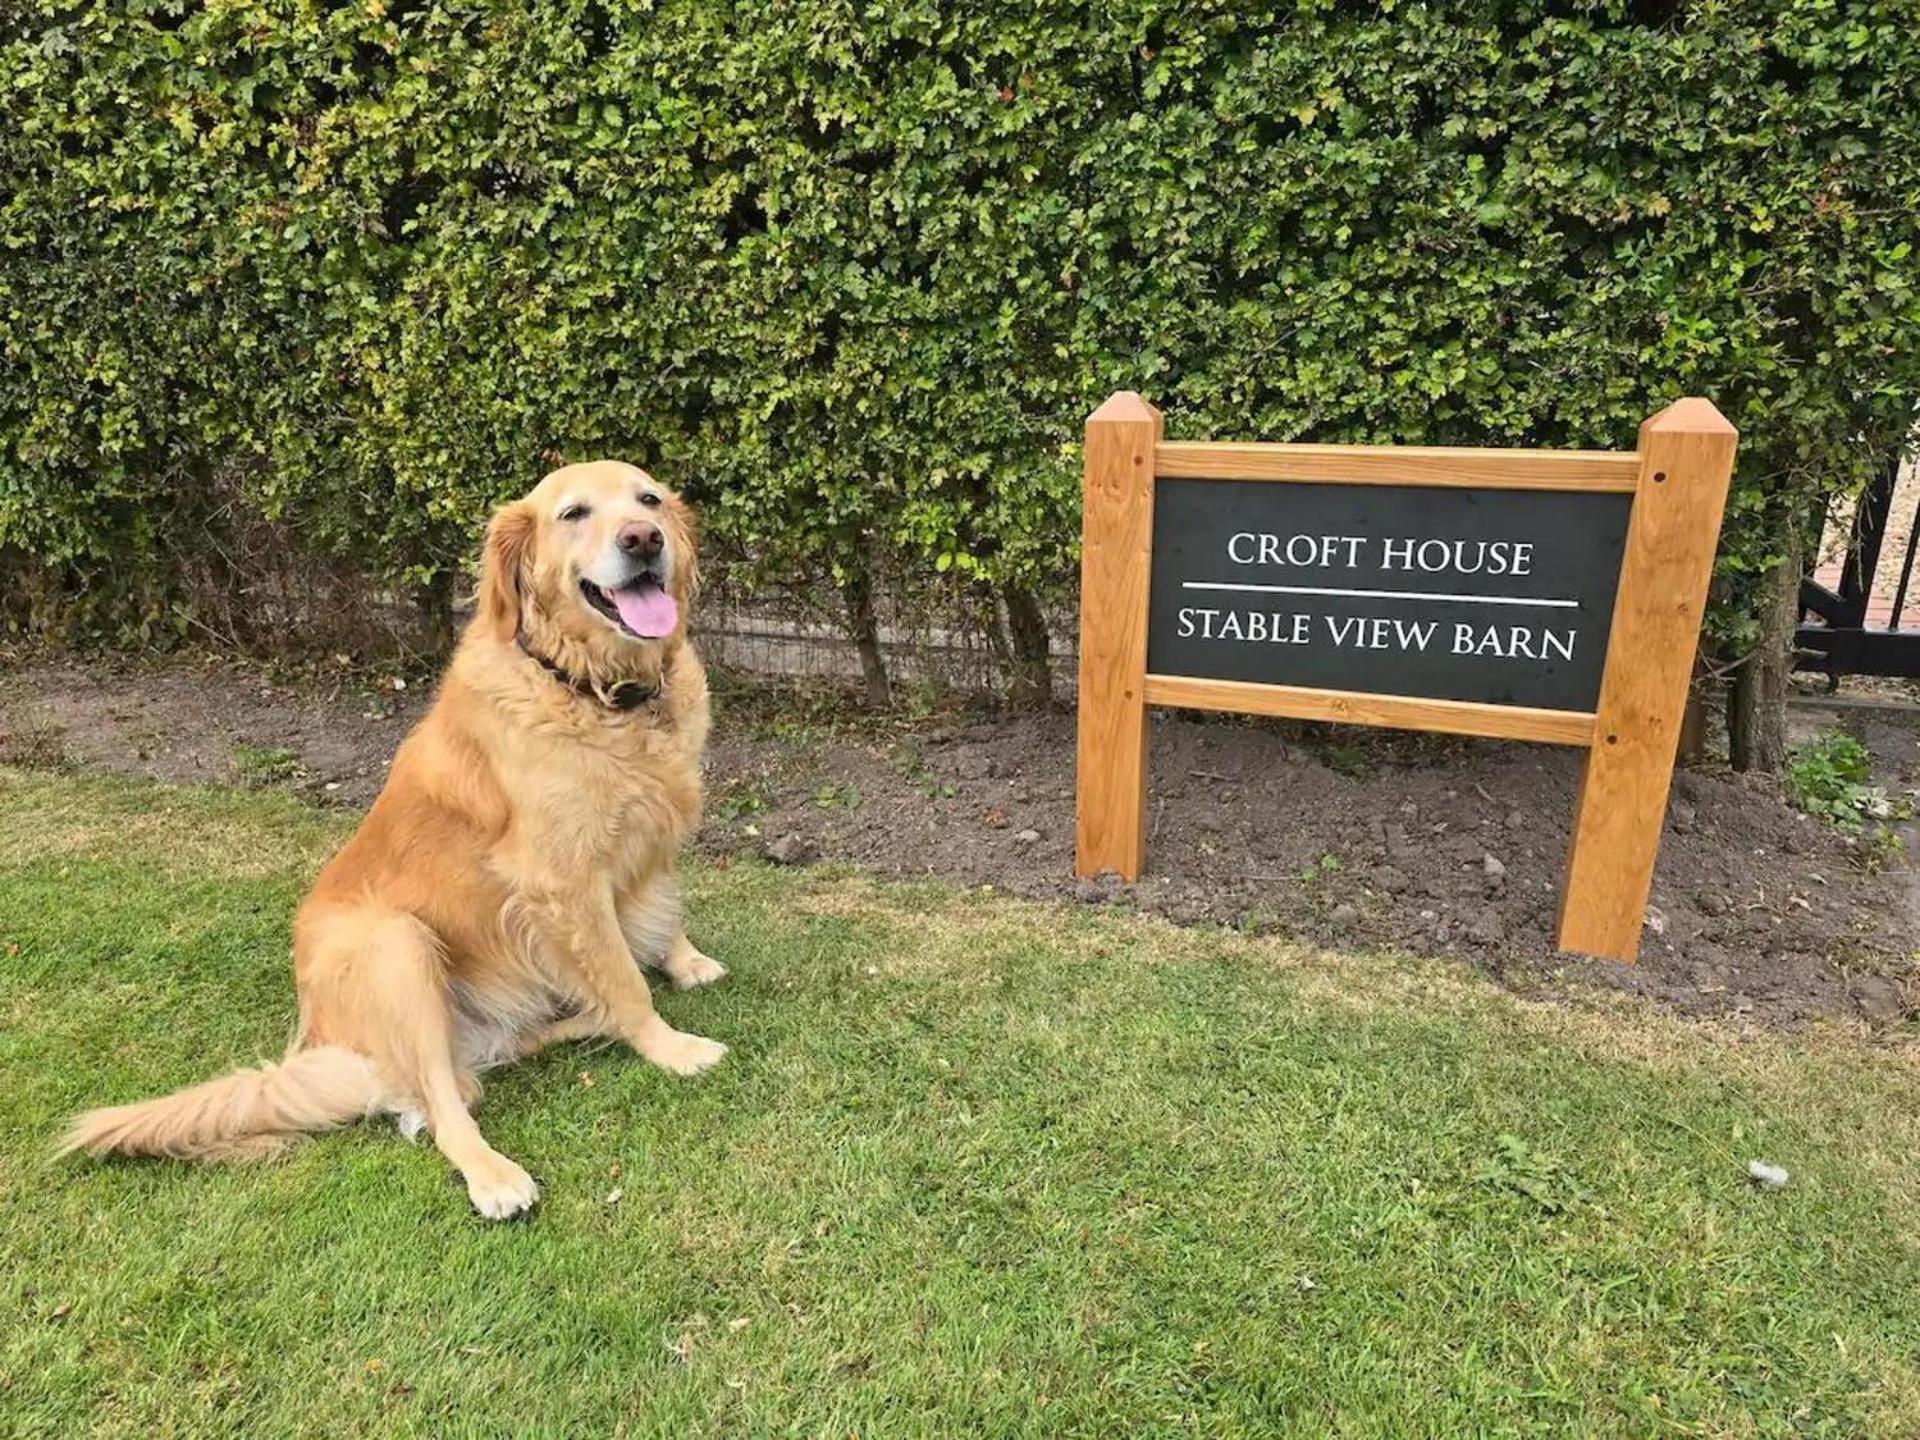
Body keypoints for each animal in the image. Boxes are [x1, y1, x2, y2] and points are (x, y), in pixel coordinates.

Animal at [65, 458, 725, 1221]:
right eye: (574, 513)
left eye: (649, 500)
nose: (644, 539)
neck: (593, 690)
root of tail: (330, 1043)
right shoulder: (562, 882)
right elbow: (624, 978)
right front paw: (670, 1046)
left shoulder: (657, 828)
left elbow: (664, 911)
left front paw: (686, 962)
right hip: (397, 946)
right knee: (440, 1105)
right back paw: (495, 1175)